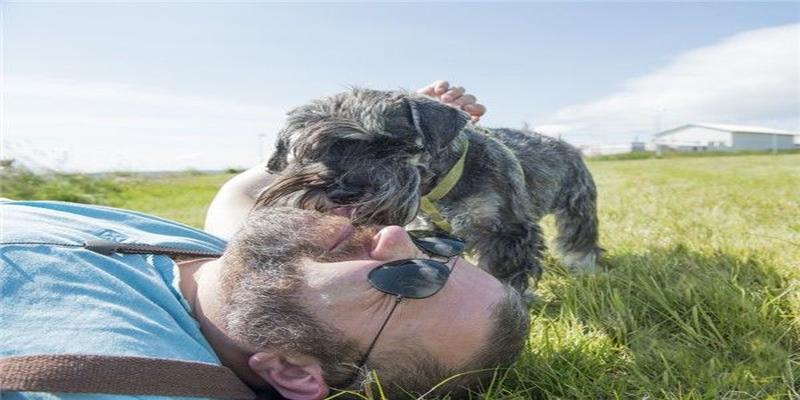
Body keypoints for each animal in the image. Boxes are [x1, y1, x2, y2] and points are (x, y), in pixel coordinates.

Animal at [260, 88, 604, 294]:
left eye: (389, 145)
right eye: (312, 152)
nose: (342, 192)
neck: (439, 185)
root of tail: (565, 144)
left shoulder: (508, 230)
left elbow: (503, 274)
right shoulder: (434, 232)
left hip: (578, 204)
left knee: (581, 238)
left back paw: (584, 266)